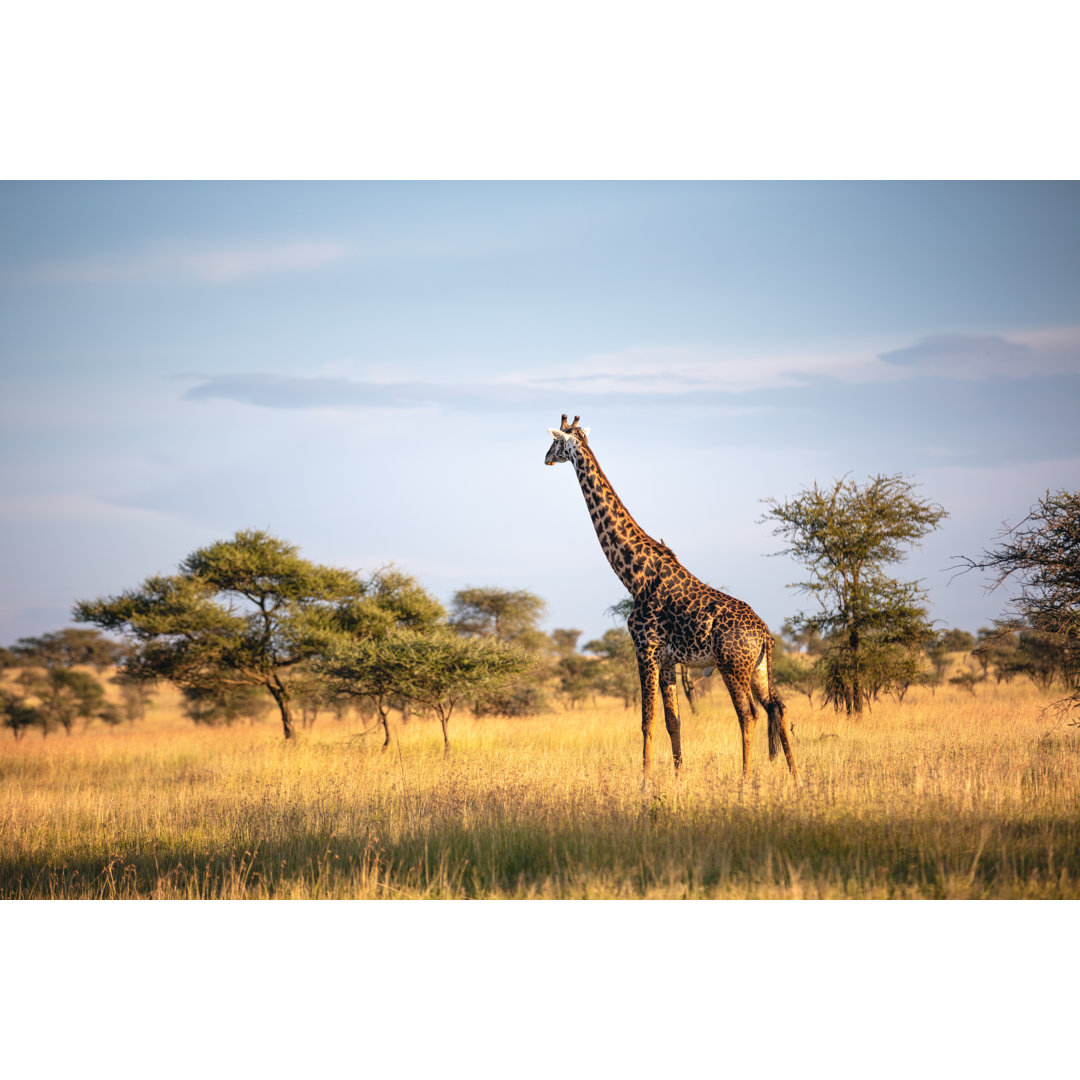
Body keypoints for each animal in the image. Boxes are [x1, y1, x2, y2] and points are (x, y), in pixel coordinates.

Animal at [544, 416, 799, 781]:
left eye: (554, 441)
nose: (546, 459)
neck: (634, 575)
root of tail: (765, 634)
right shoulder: (667, 660)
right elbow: (673, 721)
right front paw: (678, 777)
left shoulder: (645, 650)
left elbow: (646, 721)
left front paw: (645, 782)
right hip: (759, 667)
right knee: (779, 707)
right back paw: (797, 778)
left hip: (732, 666)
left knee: (749, 714)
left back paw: (745, 780)